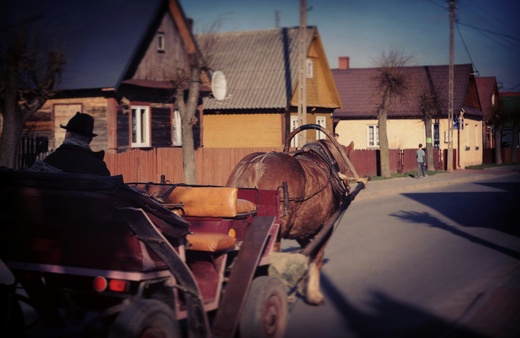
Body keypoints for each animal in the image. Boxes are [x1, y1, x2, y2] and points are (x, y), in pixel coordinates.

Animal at [225, 125, 364, 304]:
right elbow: (317, 256)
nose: (348, 185)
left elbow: (307, 254)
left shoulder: (301, 230)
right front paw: (313, 294)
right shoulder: (325, 226)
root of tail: (254, 167)